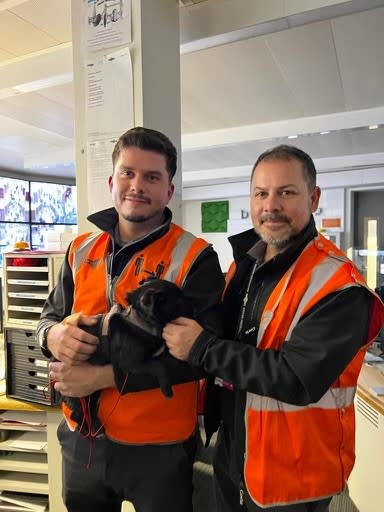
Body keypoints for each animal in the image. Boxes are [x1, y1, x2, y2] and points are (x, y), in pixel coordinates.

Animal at [61, 278, 190, 434]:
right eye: (180, 302)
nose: (193, 305)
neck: (138, 321)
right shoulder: (133, 364)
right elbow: (158, 365)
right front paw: (167, 389)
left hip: (92, 392)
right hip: (78, 395)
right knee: (77, 414)